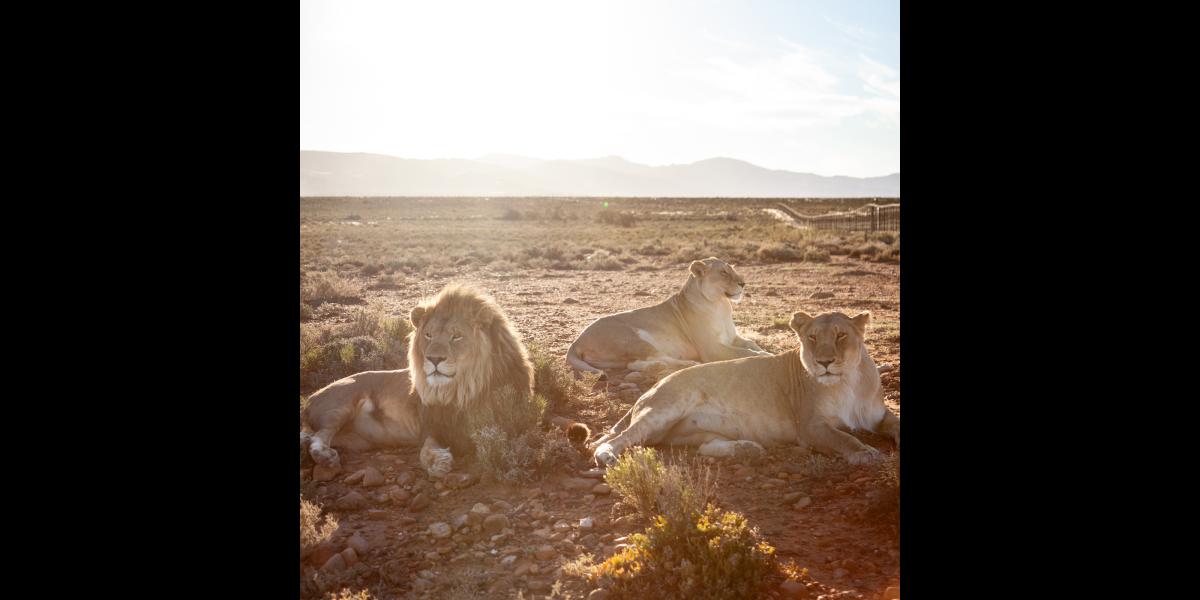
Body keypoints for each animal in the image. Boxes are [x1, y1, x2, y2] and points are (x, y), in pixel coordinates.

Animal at [300, 284, 535, 478]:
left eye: (457, 336)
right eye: (429, 335)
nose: (434, 359)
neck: (461, 388)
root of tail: (310, 398)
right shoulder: (430, 424)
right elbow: (425, 449)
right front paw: (437, 462)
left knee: (311, 436)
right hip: (341, 404)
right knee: (319, 436)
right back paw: (325, 457)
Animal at [565, 257, 770, 379]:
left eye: (732, 269)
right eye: (724, 272)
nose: (743, 283)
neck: (721, 305)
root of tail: (576, 341)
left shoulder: (732, 338)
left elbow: (751, 344)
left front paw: (764, 351)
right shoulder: (711, 349)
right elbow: (744, 353)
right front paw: (765, 356)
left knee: (635, 363)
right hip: (634, 337)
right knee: (640, 361)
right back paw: (687, 364)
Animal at [588, 310, 899, 467]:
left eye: (841, 336)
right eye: (811, 338)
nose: (824, 362)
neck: (848, 382)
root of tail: (649, 390)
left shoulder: (878, 415)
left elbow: (895, 423)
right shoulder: (811, 427)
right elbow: (842, 437)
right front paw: (865, 452)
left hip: (694, 430)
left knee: (704, 448)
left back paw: (748, 449)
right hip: (664, 408)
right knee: (624, 437)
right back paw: (606, 455)